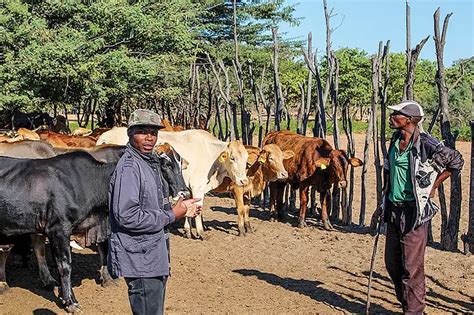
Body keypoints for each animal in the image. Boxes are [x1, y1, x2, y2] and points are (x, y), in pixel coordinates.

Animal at [97, 127, 250, 238]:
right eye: (232, 158)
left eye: (246, 158)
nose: (243, 180)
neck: (210, 153)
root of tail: (106, 135)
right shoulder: (197, 187)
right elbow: (198, 209)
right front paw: (201, 233)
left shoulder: (188, 188)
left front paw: (188, 231)